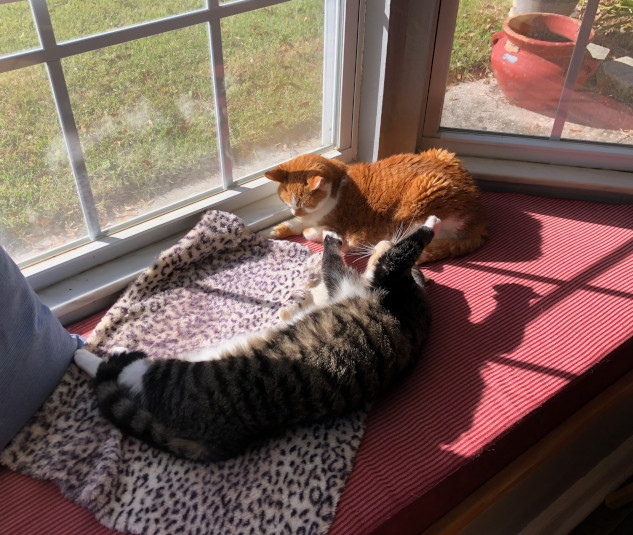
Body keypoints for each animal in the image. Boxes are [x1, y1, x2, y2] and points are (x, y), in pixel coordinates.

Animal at [74, 216, 440, 462]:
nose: (381, 242)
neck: (418, 295)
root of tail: (221, 441)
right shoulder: (340, 283)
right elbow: (331, 262)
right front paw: (332, 236)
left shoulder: (382, 276)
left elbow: (411, 243)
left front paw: (430, 221)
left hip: (176, 375)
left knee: (129, 373)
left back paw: (98, 353)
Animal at [264, 150, 486, 262]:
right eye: (287, 201)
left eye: (303, 203)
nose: (295, 210)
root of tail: (480, 214)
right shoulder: (308, 217)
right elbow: (293, 224)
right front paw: (273, 231)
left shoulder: (331, 222)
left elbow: (307, 231)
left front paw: (313, 232)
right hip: (442, 153)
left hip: (418, 204)